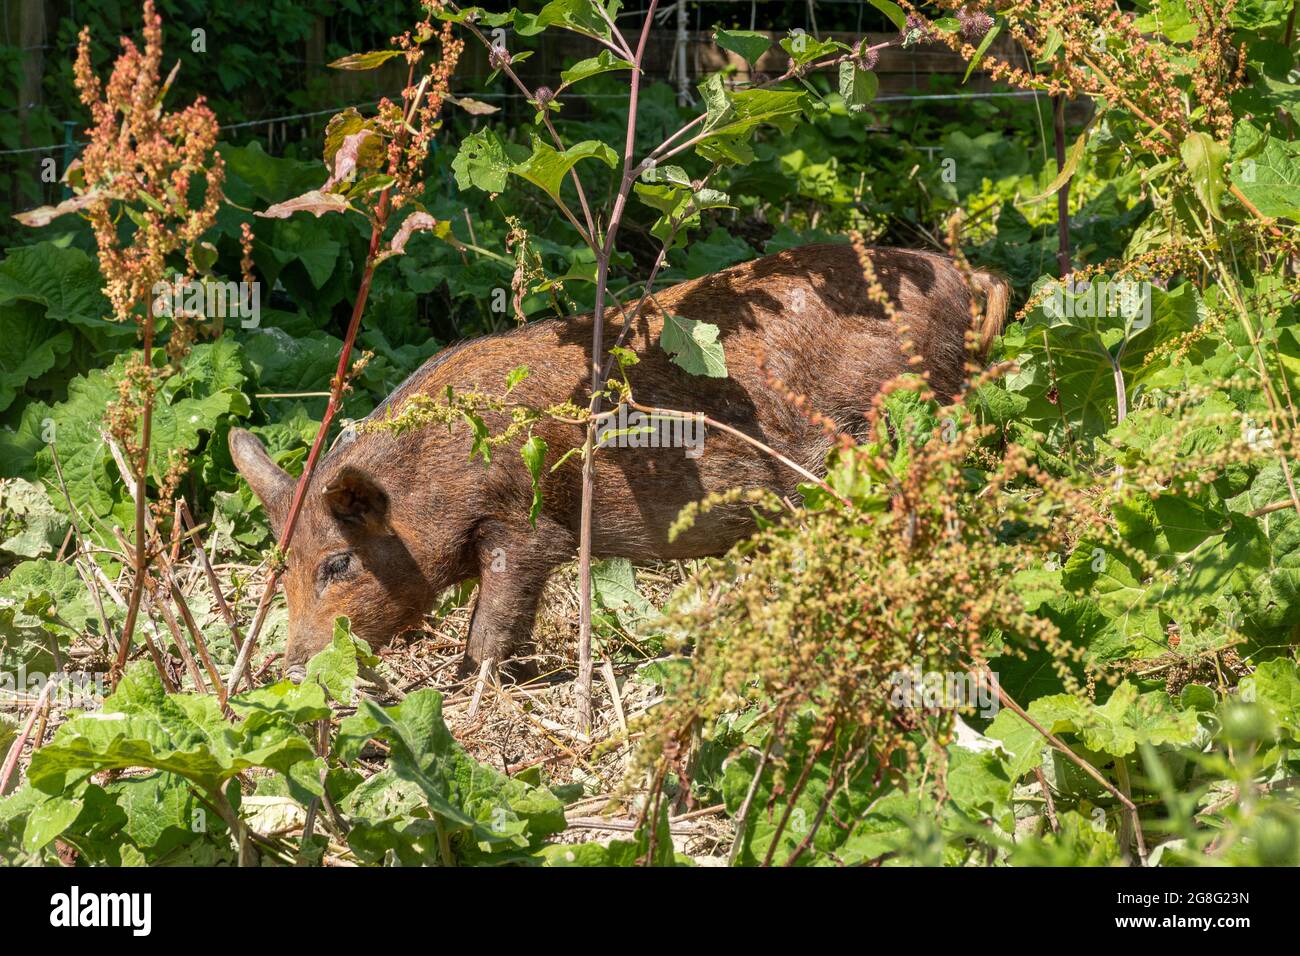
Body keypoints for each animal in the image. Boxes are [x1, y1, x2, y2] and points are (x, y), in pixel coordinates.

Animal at [228, 247, 1008, 681]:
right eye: (281, 569)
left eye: (338, 563)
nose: (293, 670)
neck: (427, 481)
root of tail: (967, 279)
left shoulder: (520, 526)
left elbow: (495, 619)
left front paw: (469, 684)